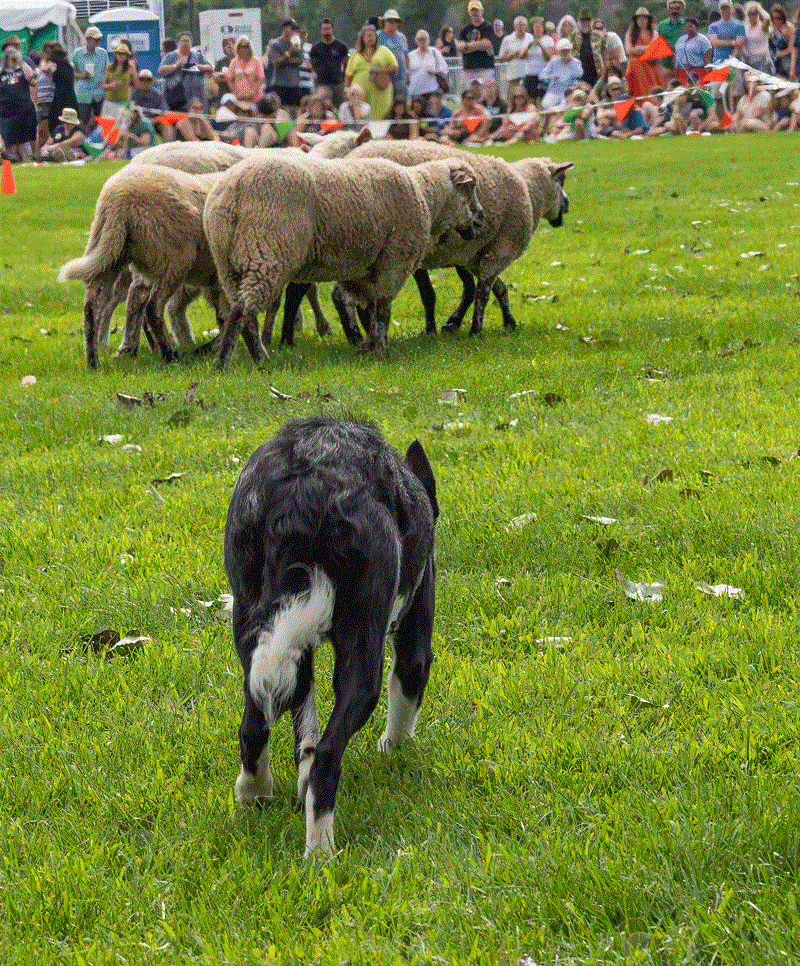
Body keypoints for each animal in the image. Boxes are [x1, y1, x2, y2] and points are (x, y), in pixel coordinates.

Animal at [203, 153, 484, 368]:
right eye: (469, 189)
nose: (481, 219)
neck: (426, 195)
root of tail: (230, 190)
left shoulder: (363, 270)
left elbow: (370, 310)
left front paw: (366, 346)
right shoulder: (394, 259)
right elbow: (383, 309)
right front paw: (382, 350)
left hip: (227, 263)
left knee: (242, 311)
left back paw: (257, 358)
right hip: (266, 249)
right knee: (242, 308)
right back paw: (226, 362)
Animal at [223, 420, 438, 860]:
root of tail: (303, 487)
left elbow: (302, 730)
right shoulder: (413, 640)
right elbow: (405, 695)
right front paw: (396, 747)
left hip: (254, 623)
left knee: (254, 727)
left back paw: (254, 793)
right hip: (362, 661)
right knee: (326, 758)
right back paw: (320, 852)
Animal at [346, 140, 572, 336]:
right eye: (561, 181)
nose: (567, 206)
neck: (529, 193)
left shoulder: (469, 254)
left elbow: (494, 287)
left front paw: (505, 321)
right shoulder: (495, 250)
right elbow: (478, 291)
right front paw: (463, 326)